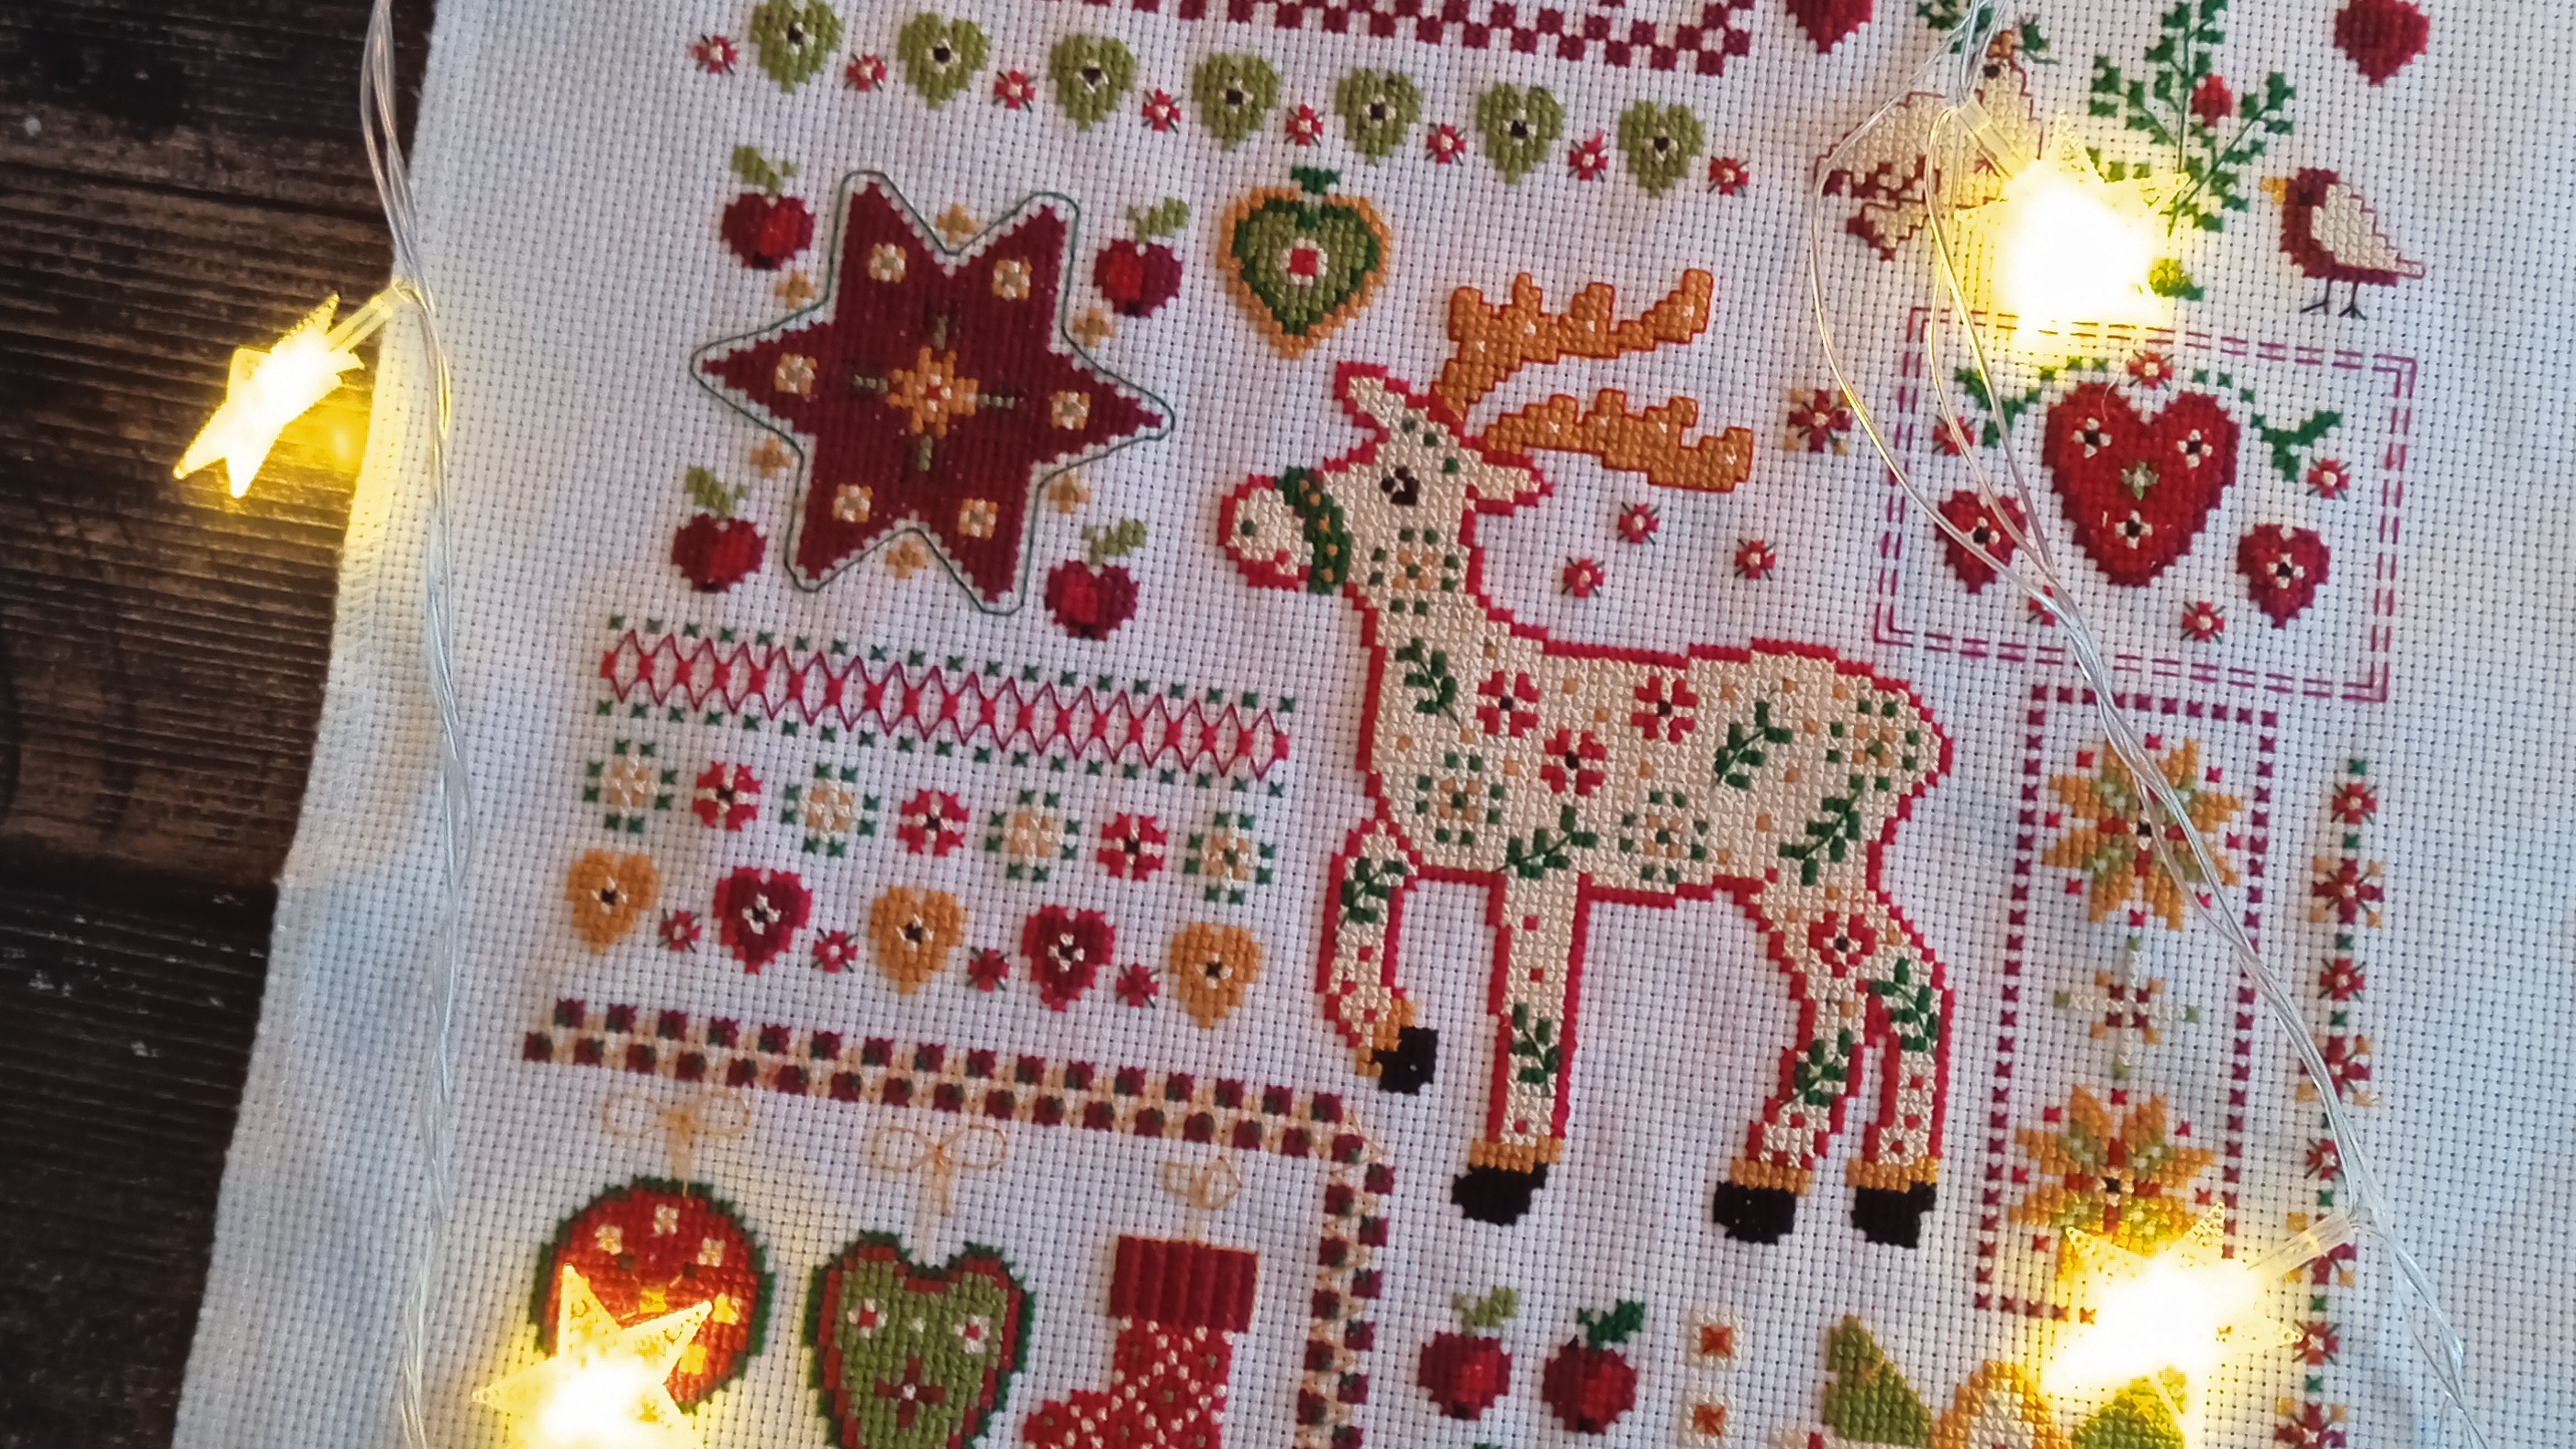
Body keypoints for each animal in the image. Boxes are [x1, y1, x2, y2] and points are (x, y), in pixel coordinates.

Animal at [1217, 270, 1957, 1246]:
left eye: (1403, 483)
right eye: (1358, 446)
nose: (1250, 518)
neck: (1461, 672)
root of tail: (1915, 733)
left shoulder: (1545, 865)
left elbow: (1534, 1010)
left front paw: (1508, 1165)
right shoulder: (1438, 836)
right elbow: (1360, 888)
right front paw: (1397, 1042)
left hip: (1805, 869)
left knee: (1883, 995)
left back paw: (1823, 1180)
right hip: (1814, 875)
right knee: (1878, 994)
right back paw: (1835, 1181)